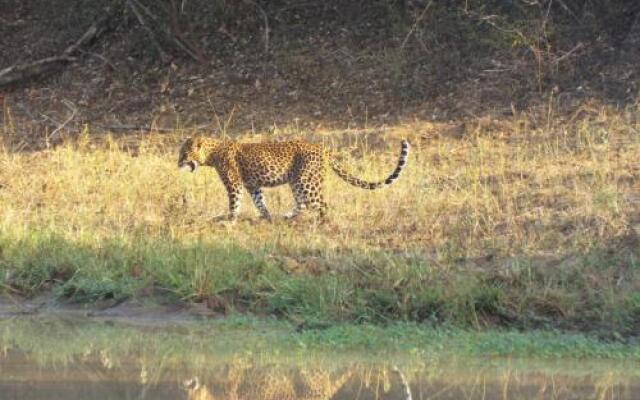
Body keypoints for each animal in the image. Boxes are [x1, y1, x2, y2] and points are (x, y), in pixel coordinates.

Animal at [179, 136, 410, 220]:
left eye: (184, 153)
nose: (177, 162)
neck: (212, 153)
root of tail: (323, 149)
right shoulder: (253, 185)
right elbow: (259, 201)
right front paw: (266, 216)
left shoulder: (234, 184)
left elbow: (234, 202)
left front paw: (229, 219)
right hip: (297, 181)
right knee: (302, 203)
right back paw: (288, 216)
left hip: (307, 182)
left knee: (322, 203)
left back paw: (320, 221)